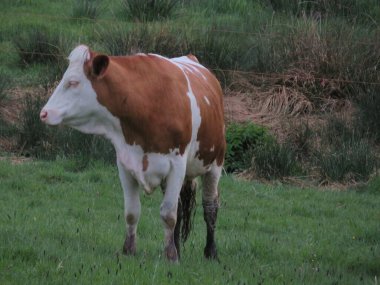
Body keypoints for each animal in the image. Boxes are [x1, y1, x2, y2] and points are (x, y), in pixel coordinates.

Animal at [40, 45, 226, 262]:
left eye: (73, 82)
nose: (44, 113)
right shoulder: (125, 163)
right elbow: (132, 212)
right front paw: (129, 250)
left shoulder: (177, 165)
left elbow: (168, 214)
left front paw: (171, 256)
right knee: (181, 209)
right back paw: (178, 247)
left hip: (215, 164)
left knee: (210, 206)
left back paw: (211, 252)